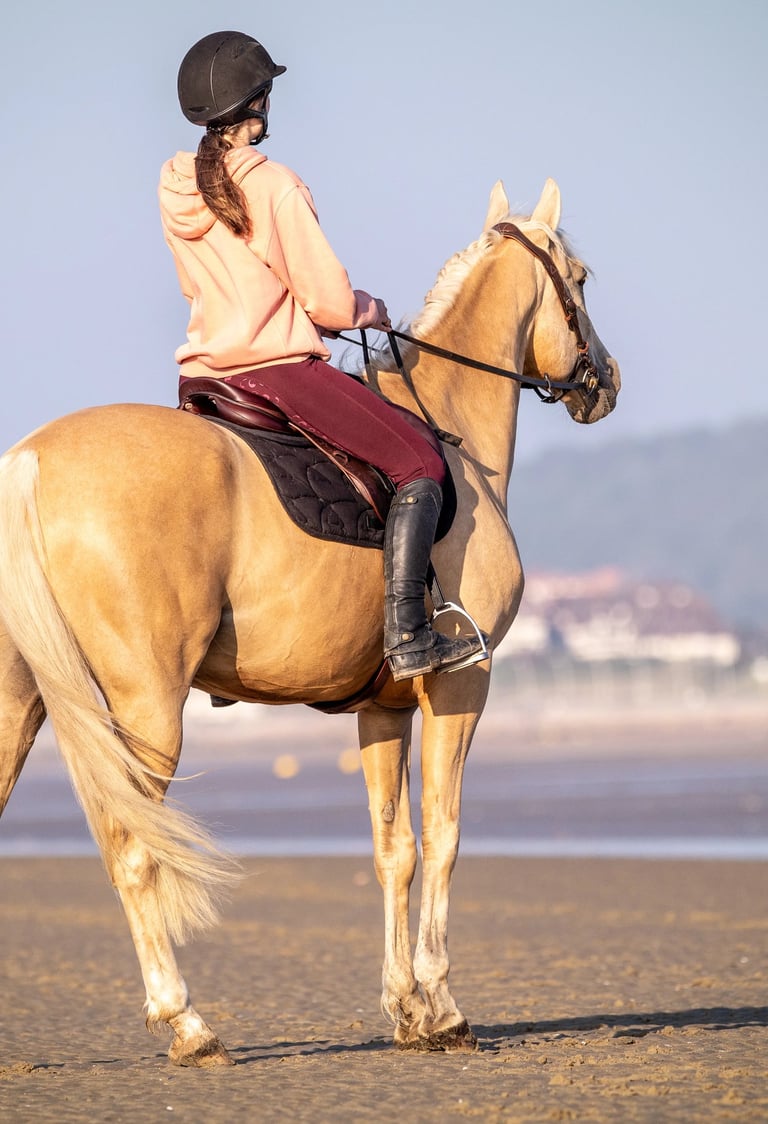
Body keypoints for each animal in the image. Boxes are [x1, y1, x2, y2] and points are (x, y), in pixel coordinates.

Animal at [0, 178, 620, 1067]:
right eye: (582, 277)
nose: (606, 381)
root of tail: (31, 457)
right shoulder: (461, 686)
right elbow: (446, 836)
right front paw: (443, 1006)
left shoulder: (382, 707)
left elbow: (394, 850)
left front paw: (406, 1009)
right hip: (147, 707)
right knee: (135, 848)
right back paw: (188, 1024)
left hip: (22, 698)